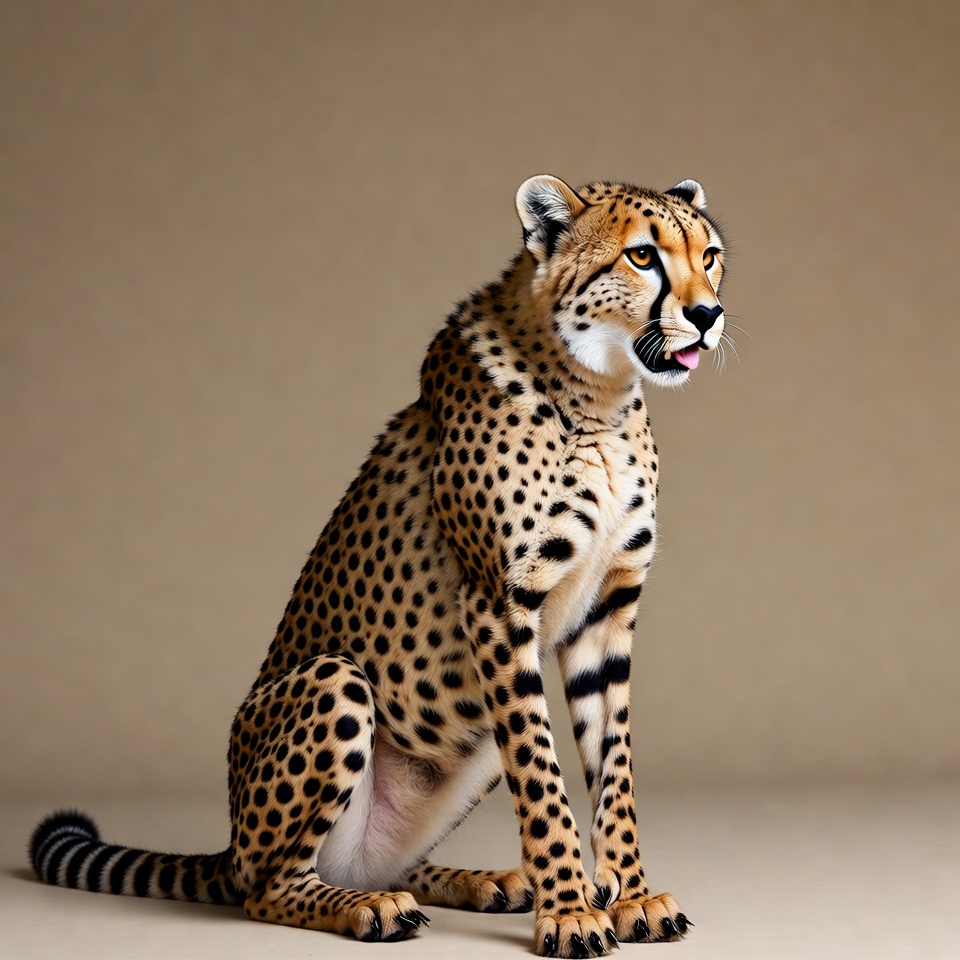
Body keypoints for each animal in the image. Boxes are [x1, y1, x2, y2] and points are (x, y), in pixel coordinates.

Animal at [30, 174, 728, 959]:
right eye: (642, 256)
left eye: (710, 256)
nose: (708, 314)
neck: (600, 401)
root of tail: (233, 844)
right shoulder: (498, 604)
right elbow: (544, 776)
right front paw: (573, 911)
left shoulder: (607, 609)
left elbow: (614, 763)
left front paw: (629, 895)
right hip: (336, 682)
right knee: (268, 891)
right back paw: (369, 908)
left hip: (469, 744)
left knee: (385, 860)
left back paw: (481, 882)